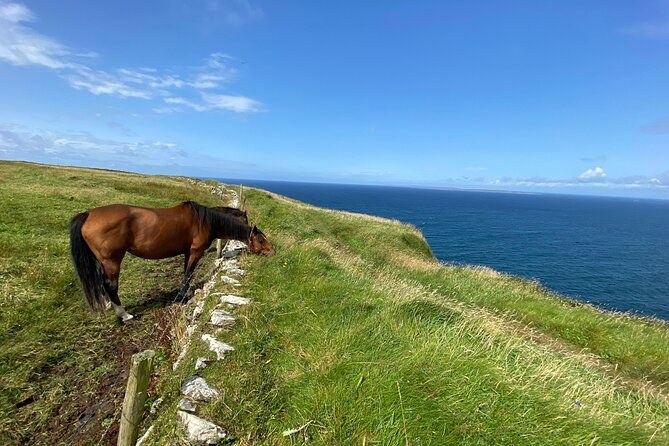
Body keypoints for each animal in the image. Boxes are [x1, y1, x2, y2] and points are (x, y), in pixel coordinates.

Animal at [69, 200, 274, 322]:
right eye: (261, 240)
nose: (273, 252)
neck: (205, 221)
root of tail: (87, 215)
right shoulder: (195, 252)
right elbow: (188, 274)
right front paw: (182, 297)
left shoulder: (187, 253)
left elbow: (186, 273)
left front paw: (185, 294)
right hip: (112, 260)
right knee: (111, 285)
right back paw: (124, 314)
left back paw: (106, 304)